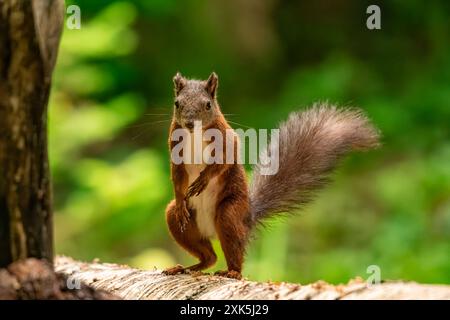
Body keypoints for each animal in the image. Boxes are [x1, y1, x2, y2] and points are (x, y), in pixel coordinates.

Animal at [163, 71, 380, 278]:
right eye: (177, 103)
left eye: (208, 105)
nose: (190, 123)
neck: (194, 135)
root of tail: (247, 218)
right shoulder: (175, 147)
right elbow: (177, 176)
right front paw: (181, 198)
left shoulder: (227, 139)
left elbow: (224, 161)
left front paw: (203, 179)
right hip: (178, 221)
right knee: (208, 256)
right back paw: (183, 268)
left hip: (229, 213)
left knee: (231, 250)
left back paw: (232, 272)